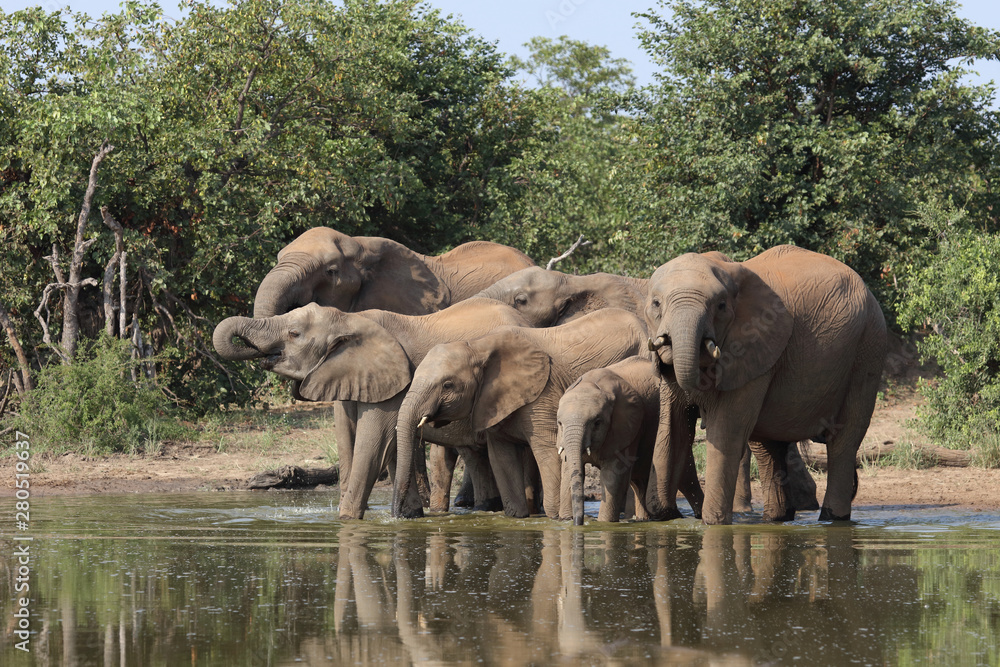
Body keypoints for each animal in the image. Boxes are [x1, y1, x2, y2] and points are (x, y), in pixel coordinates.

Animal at [213, 297, 533, 519]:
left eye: (294, 334)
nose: (259, 354)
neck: (348, 320)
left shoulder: (392, 382)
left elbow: (374, 443)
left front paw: (348, 519)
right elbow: (363, 443)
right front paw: (409, 516)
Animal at [394, 308, 651, 519]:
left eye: (447, 385)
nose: (397, 514)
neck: (478, 346)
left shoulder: (543, 395)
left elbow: (549, 454)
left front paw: (556, 519)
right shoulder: (493, 404)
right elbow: (502, 458)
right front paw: (518, 518)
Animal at [556, 356, 704, 525]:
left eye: (597, 423)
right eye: (559, 424)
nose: (578, 522)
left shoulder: (627, 427)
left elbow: (613, 476)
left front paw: (604, 523)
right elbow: (567, 472)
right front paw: (565, 521)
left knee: (686, 477)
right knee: (639, 481)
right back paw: (644, 519)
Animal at [645, 245, 886, 524]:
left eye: (721, 306)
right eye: (656, 303)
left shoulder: (754, 348)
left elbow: (727, 428)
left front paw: (713, 524)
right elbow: (672, 425)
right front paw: (662, 516)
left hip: (868, 347)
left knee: (844, 439)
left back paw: (832, 519)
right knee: (769, 446)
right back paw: (776, 518)